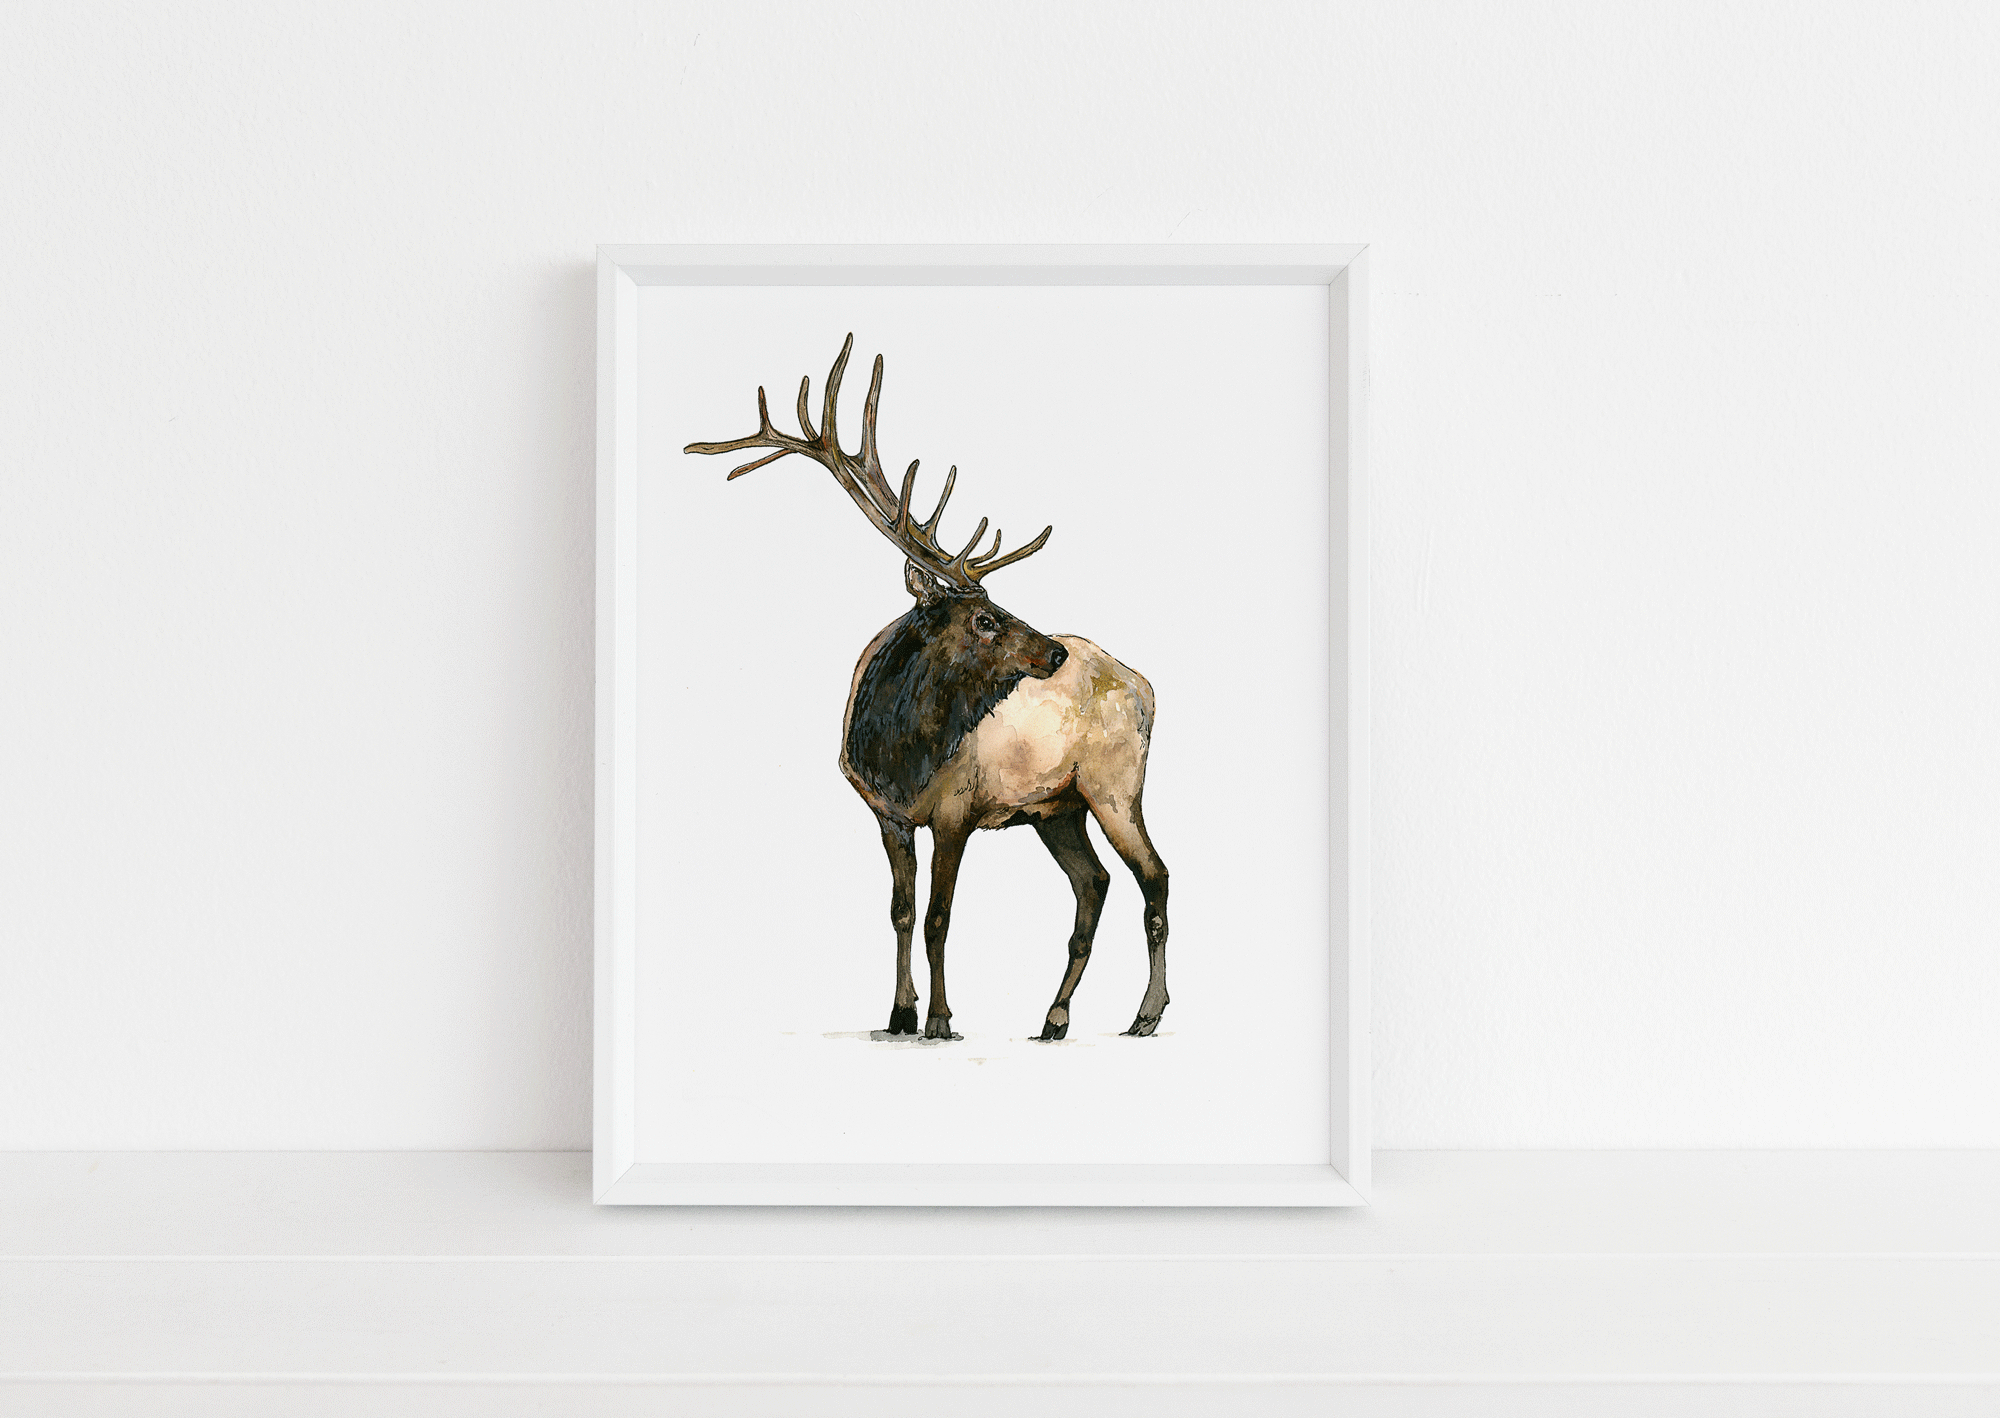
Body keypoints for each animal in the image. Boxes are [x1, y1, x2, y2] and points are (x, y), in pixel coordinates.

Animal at [684, 335, 1170, 1042]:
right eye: (985, 617)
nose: (1052, 651)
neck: (895, 751)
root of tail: (1146, 686)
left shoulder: (956, 810)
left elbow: (941, 917)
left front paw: (940, 1019)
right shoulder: (888, 815)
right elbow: (902, 912)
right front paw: (900, 1014)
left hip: (1115, 785)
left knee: (1154, 877)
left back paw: (1146, 1014)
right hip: (1057, 808)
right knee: (1095, 884)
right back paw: (1054, 1018)